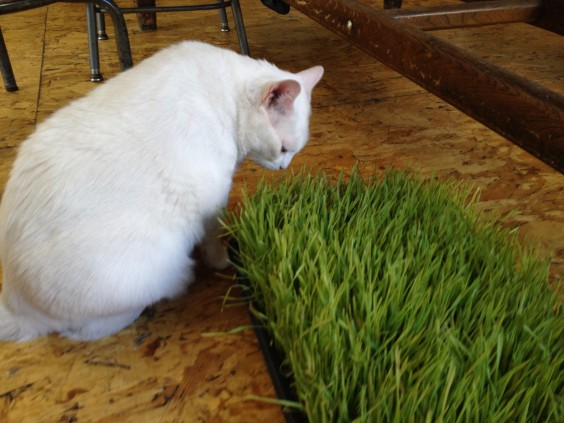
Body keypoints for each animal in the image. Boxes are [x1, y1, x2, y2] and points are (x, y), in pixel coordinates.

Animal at [0, 40, 323, 341]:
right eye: (284, 149)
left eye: (292, 153)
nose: (283, 167)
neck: (228, 98)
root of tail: (14, 297)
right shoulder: (212, 199)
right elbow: (214, 238)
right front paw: (223, 260)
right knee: (84, 330)